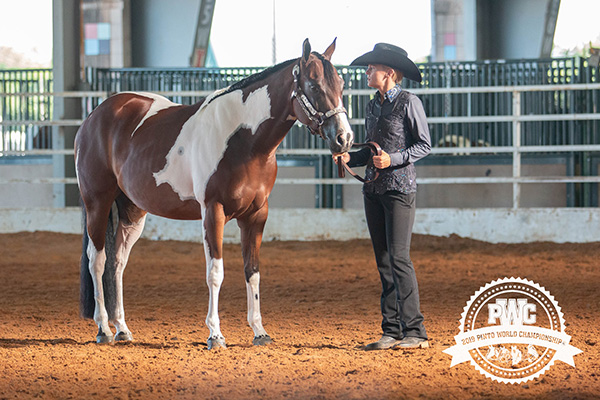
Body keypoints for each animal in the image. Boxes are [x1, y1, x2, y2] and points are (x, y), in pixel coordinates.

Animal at [77, 39, 354, 348]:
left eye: (341, 84)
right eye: (314, 85)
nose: (344, 138)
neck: (243, 140)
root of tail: (94, 115)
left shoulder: (257, 214)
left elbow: (252, 272)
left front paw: (260, 332)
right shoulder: (213, 211)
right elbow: (215, 273)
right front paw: (215, 334)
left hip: (132, 211)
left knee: (117, 262)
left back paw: (123, 329)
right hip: (97, 203)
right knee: (97, 260)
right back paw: (103, 329)